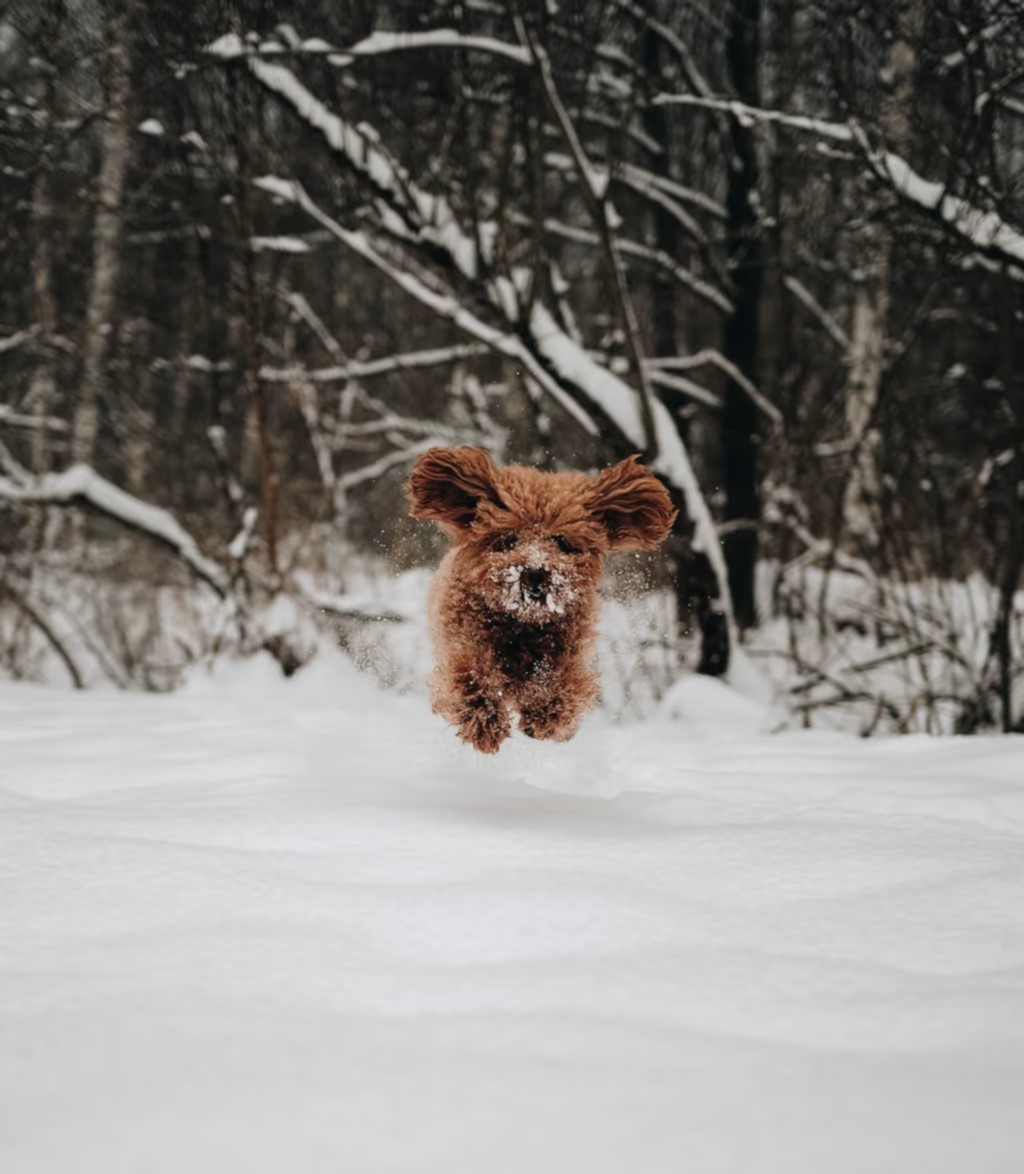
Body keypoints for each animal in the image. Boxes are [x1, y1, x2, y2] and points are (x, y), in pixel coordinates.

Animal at [403, 443, 676, 756]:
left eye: (562, 542)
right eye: (508, 539)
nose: (534, 572)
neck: (521, 625)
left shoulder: (569, 655)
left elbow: (563, 686)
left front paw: (544, 717)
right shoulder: (463, 643)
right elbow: (470, 676)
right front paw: (486, 724)